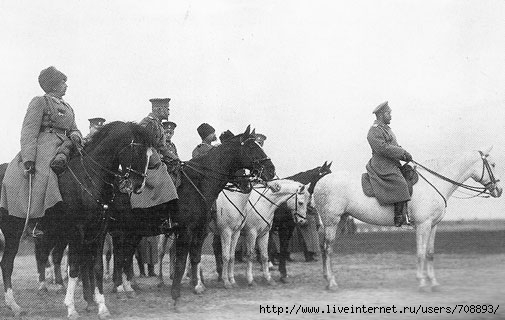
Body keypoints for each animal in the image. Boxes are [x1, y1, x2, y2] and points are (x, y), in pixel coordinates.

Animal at [0, 121, 152, 318]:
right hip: (13, 231)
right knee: (7, 264)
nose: (138, 186)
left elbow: (96, 267)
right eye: (138, 151)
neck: (89, 178)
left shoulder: (98, 232)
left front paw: (101, 306)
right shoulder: (77, 233)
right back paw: (14, 305)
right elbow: (74, 267)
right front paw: (71, 307)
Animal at [314, 148, 502, 292]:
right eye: (492, 165)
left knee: (325, 248)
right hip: (331, 222)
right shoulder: (423, 225)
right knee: (328, 249)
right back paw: (332, 283)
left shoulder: (433, 226)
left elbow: (430, 253)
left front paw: (434, 283)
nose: (499, 190)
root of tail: (320, 182)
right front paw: (422, 283)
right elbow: (420, 253)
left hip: (340, 221)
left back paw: (327, 279)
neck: (434, 182)